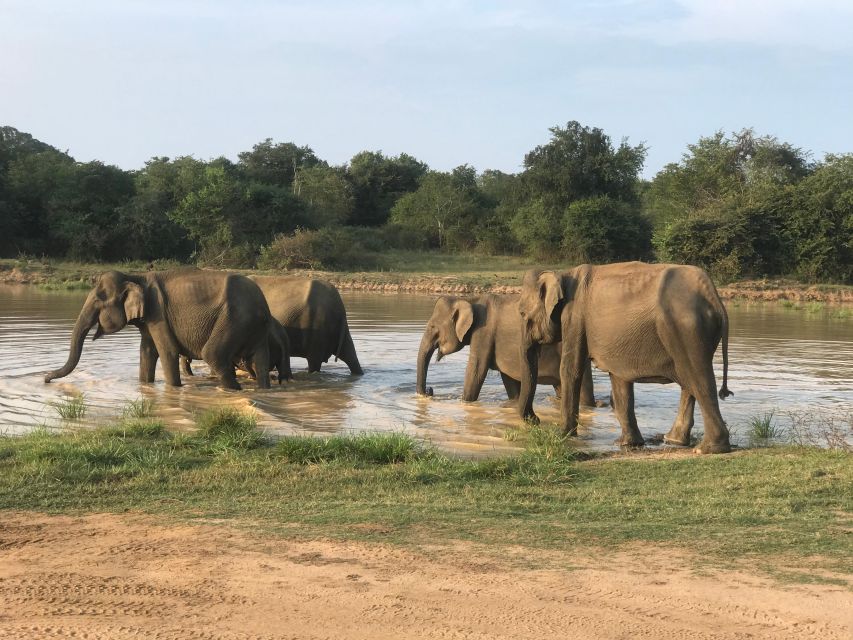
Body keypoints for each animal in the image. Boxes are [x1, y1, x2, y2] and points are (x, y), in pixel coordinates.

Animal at [43, 268, 272, 390]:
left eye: (99, 301)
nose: (45, 378)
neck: (136, 277)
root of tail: (262, 301)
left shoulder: (158, 312)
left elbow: (167, 350)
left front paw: (173, 389)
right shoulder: (148, 318)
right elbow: (147, 351)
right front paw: (145, 385)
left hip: (234, 318)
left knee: (213, 354)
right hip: (252, 325)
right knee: (260, 361)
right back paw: (262, 389)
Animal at [416, 296, 596, 404]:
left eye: (433, 327)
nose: (429, 391)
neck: (471, 301)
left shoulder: (483, 333)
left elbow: (476, 370)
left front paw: (465, 402)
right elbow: (508, 379)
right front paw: (513, 403)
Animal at [516, 262, 728, 456]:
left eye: (522, 313)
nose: (535, 420)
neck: (563, 273)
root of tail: (713, 296)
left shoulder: (573, 318)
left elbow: (570, 370)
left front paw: (562, 435)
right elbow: (619, 380)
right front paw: (627, 444)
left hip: (687, 329)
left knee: (698, 379)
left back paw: (707, 449)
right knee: (689, 382)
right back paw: (674, 440)